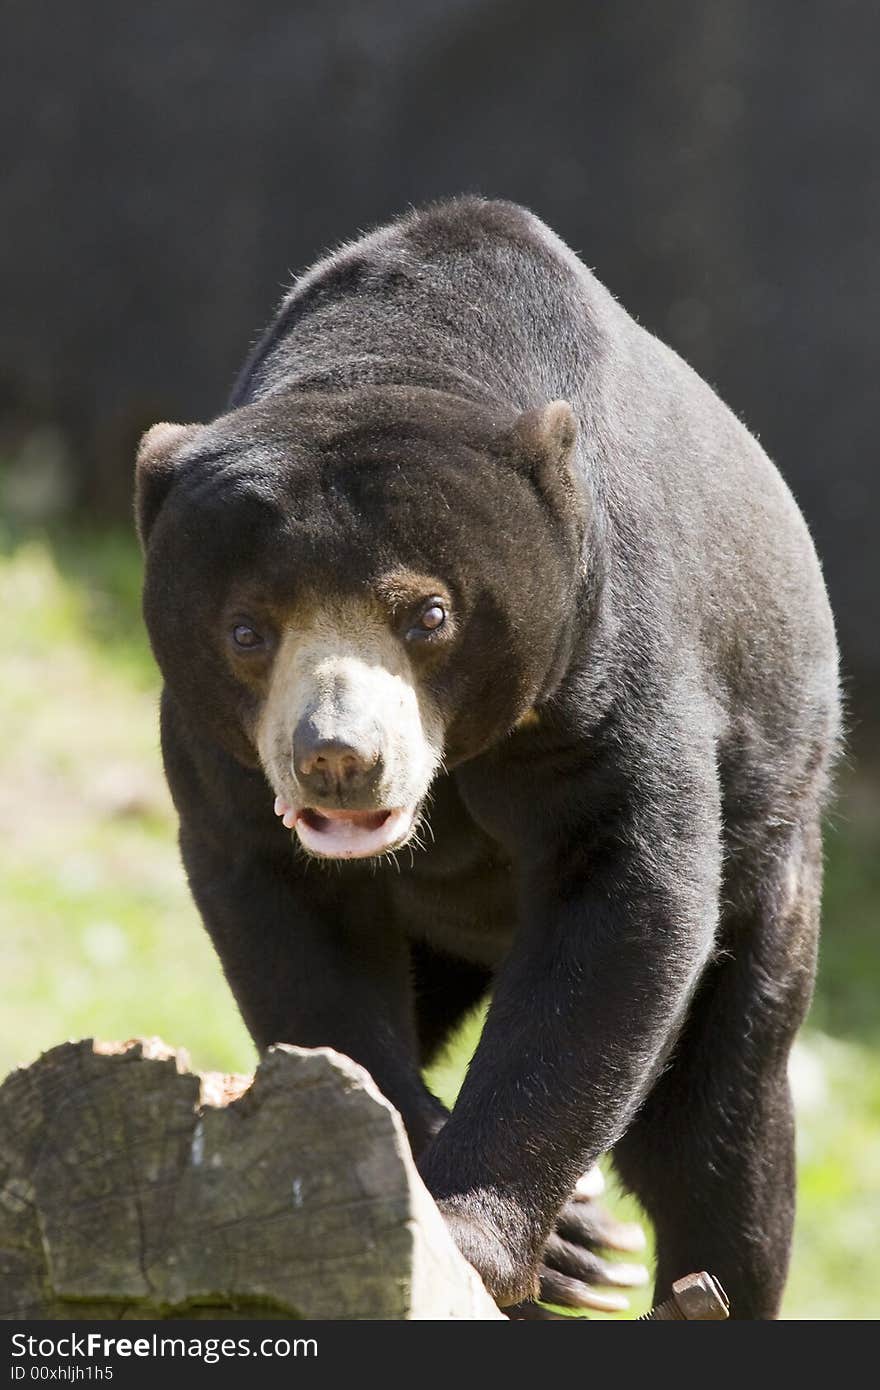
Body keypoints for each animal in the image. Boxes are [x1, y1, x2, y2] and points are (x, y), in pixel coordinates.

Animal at [135, 193, 839, 1312]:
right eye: (247, 630)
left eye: (426, 613)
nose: (337, 759)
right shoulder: (220, 752)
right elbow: (292, 932)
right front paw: (546, 1233)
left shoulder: (602, 666)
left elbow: (624, 897)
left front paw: (493, 1237)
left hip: (774, 850)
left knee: (727, 1128)